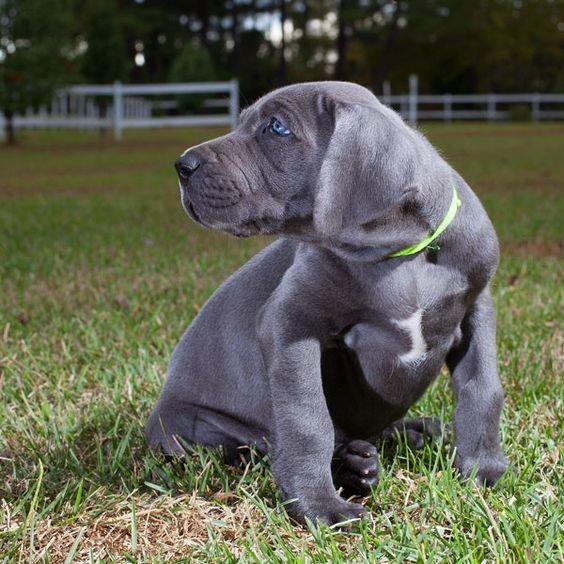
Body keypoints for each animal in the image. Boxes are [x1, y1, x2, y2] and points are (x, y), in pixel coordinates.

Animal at [145, 81, 506, 528]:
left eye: (276, 127)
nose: (183, 165)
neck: (403, 254)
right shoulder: (290, 323)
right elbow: (308, 419)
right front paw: (319, 506)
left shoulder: (478, 307)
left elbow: (483, 388)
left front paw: (483, 471)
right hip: (192, 428)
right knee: (258, 448)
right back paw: (351, 467)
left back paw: (408, 435)